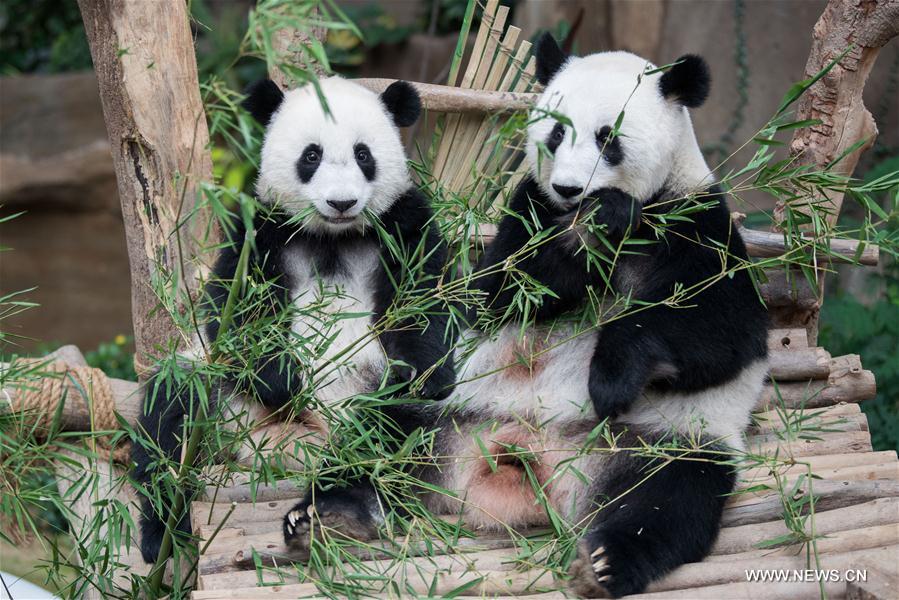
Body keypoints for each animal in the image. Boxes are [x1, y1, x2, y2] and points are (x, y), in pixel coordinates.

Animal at [131, 75, 458, 564]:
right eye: (311, 155)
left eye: (364, 154)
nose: (341, 202)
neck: (333, 237)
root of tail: (293, 450)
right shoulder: (261, 229)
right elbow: (235, 310)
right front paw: (283, 380)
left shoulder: (405, 225)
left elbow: (427, 302)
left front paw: (424, 374)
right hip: (217, 397)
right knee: (171, 413)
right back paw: (165, 533)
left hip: (372, 401)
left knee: (393, 435)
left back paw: (333, 512)